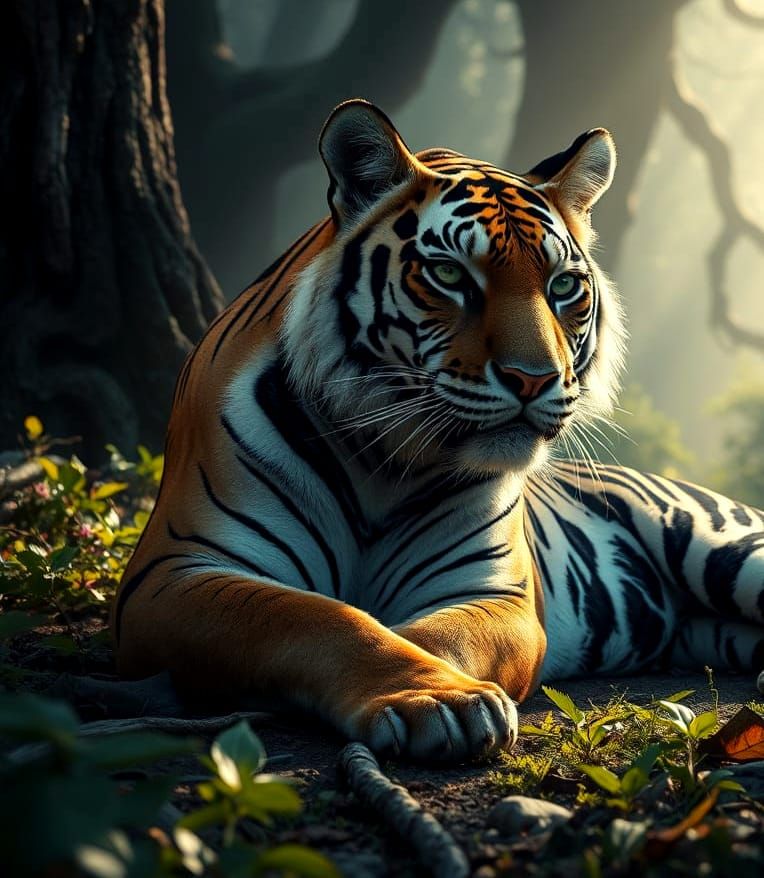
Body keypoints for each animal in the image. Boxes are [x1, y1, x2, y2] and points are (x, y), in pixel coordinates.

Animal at [112, 99, 764, 763]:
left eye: (562, 286)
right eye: (449, 275)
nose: (533, 379)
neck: (379, 463)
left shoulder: (497, 591)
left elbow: (432, 634)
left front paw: (445, 692)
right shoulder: (175, 571)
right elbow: (320, 618)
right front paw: (435, 698)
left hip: (733, 553)